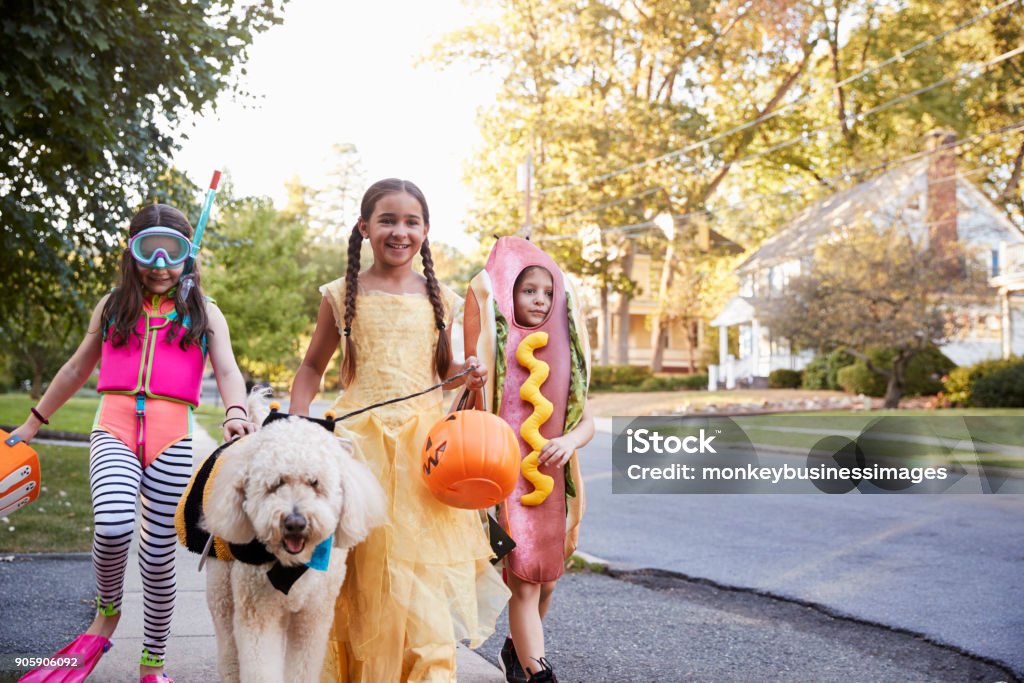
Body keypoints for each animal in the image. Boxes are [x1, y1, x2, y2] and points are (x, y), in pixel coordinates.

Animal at [199, 401, 385, 683]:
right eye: (276, 484)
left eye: (314, 483)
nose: (295, 522)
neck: (291, 565)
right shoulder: (258, 614)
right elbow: (260, 667)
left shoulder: (312, 617)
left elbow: (302, 666)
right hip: (222, 590)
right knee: (228, 648)